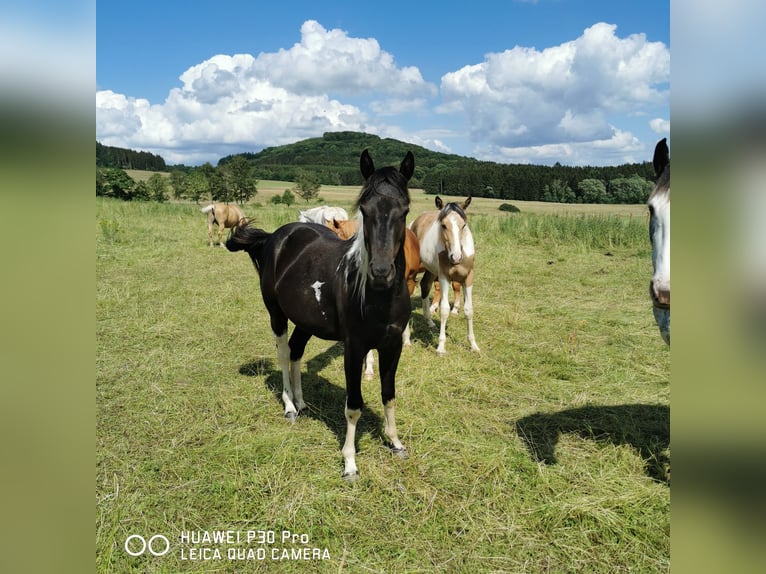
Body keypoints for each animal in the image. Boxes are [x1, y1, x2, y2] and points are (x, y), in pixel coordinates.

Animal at [228, 151, 414, 480]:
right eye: (364, 210)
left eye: (404, 210)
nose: (381, 273)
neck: (377, 296)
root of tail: (277, 237)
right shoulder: (354, 348)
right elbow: (353, 405)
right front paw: (349, 462)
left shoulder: (392, 345)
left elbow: (389, 394)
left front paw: (395, 443)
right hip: (276, 314)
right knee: (282, 353)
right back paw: (290, 406)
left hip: (306, 321)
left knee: (296, 352)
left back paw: (302, 403)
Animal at [408, 198, 480, 356]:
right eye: (443, 225)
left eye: (464, 225)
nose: (456, 257)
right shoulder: (444, 278)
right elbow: (445, 310)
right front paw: (441, 347)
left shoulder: (468, 278)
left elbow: (469, 310)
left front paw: (474, 345)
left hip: (431, 270)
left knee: (425, 285)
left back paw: (429, 321)